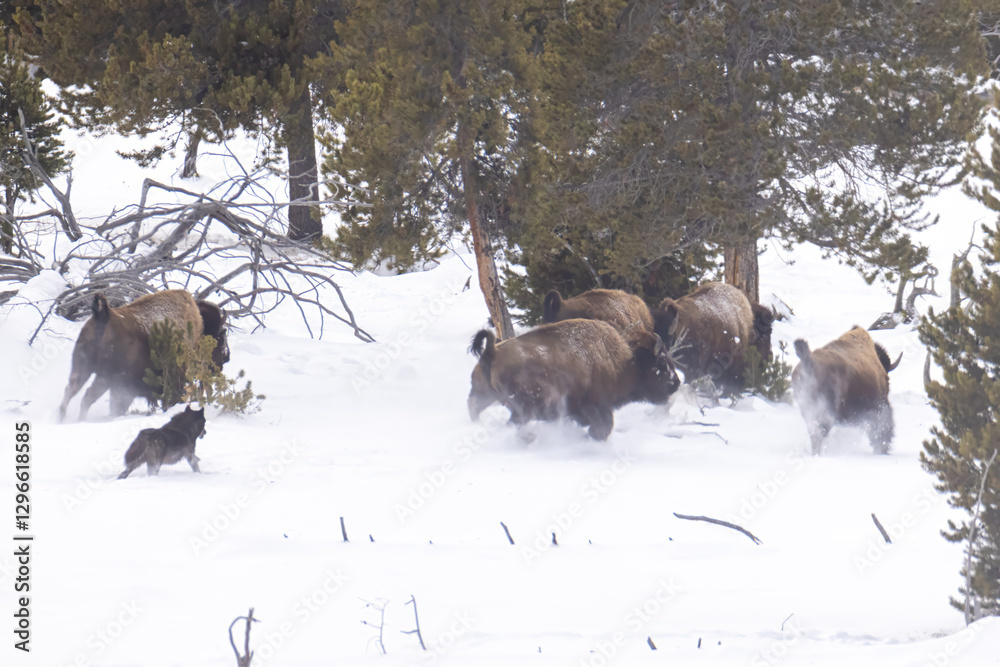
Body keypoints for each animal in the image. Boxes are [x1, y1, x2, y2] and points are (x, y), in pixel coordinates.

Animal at [59, 290, 229, 421]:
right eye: (220, 336)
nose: (226, 358)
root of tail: (103, 315)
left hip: (82, 368)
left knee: (70, 390)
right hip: (104, 377)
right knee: (87, 397)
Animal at [467, 318, 680, 440]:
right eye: (661, 362)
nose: (676, 382)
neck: (624, 358)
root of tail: (491, 351)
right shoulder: (593, 405)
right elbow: (604, 425)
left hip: (483, 396)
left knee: (475, 410)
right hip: (525, 407)